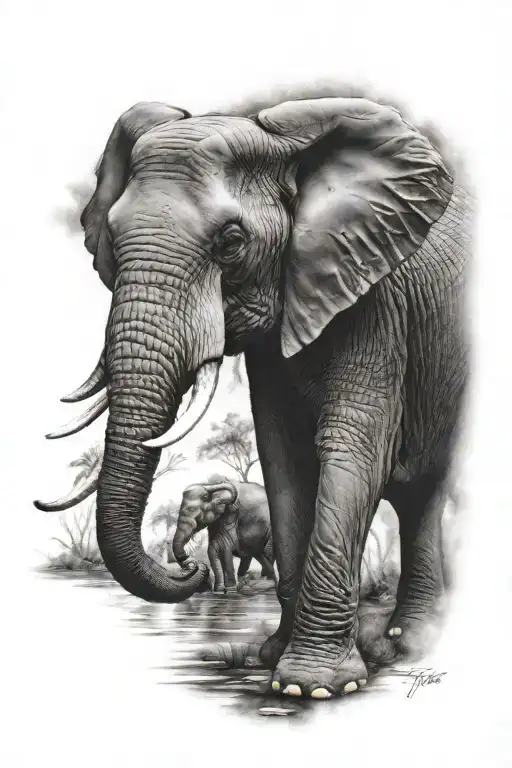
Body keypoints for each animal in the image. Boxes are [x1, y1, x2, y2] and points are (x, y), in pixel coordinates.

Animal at [35, 90, 472, 700]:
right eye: (113, 244)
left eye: (232, 243)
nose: (186, 571)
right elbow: (283, 454)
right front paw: (271, 659)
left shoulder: (378, 300)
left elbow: (351, 450)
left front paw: (311, 687)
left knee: (423, 493)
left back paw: (410, 644)